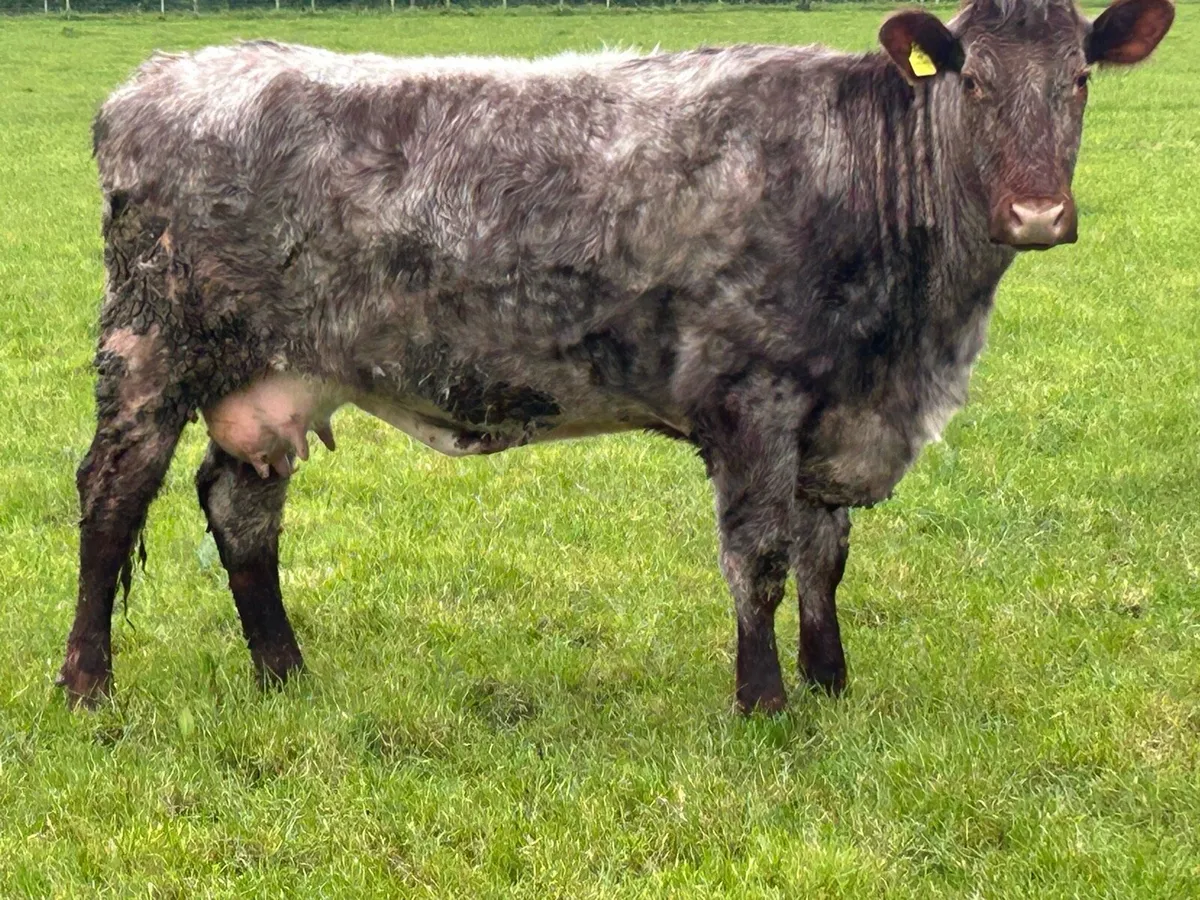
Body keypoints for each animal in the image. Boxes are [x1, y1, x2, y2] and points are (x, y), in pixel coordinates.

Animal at [59, 0, 1174, 712]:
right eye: (974, 81)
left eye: (1079, 78)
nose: (1037, 214)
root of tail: (158, 76)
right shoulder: (752, 396)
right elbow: (760, 558)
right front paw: (765, 702)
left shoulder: (838, 410)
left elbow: (826, 557)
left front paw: (832, 685)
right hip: (151, 344)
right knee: (113, 496)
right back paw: (87, 683)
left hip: (272, 377)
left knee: (240, 510)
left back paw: (285, 674)